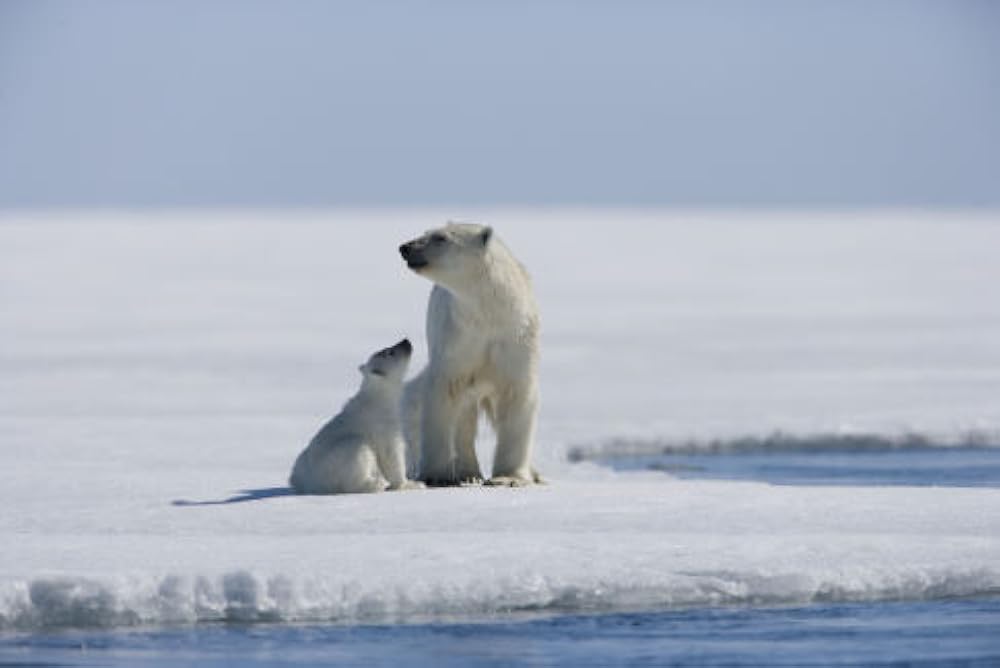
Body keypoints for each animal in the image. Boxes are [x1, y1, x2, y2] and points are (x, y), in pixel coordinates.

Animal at [288, 342, 424, 494]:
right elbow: (391, 453)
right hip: (336, 460)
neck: (378, 397)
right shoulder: (383, 424)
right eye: (390, 352)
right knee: (358, 449)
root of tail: (307, 483)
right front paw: (410, 484)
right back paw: (376, 484)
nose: (406, 341)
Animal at [398, 224, 544, 486]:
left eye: (440, 238)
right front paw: (436, 475)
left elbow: (517, 397)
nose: (405, 247)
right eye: (427, 232)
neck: (488, 313)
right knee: (463, 414)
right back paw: (468, 473)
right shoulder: (459, 339)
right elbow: (445, 393)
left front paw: (508, 477)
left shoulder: (515, 340)